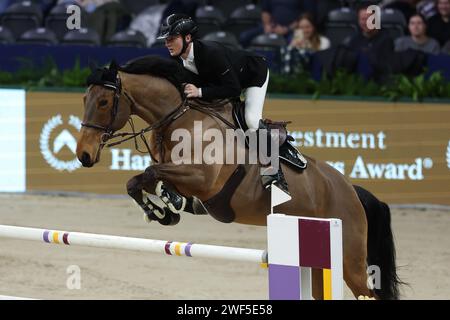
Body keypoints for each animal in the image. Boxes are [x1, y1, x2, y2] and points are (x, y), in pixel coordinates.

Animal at [75, 55, 402, 300]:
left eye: (103, 102)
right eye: (85, 98)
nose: (83, 155)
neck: (181, 118)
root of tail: (351, 190)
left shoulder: (204, 179)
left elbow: (152, 173)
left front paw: (166, 204)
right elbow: (138, 180)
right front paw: (162, 209)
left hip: (350, 259)